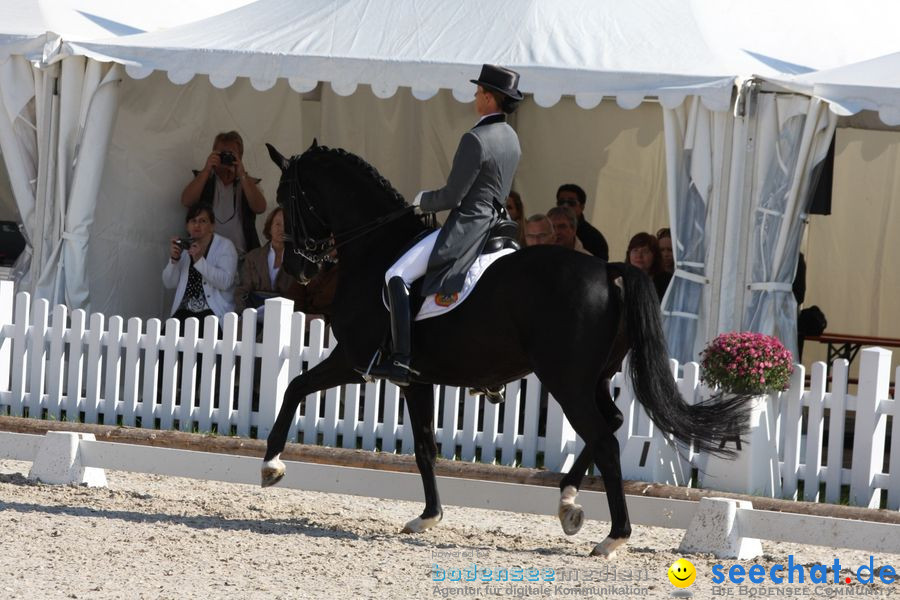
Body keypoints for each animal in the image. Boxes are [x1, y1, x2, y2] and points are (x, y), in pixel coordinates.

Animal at [262, 142, 752, 556]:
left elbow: (294, 388)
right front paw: (428, 517)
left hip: (566, 381)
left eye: (287, 197)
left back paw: (613, 537)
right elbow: (424, 445)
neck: (376, 249)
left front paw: (271, 465)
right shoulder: (414, 379)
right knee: (609, 424)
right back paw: (568, 504)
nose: (297, 268)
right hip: (593, 378)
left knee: (605, 440)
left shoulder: (354, 358)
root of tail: (607, 269)